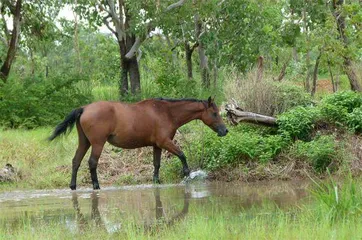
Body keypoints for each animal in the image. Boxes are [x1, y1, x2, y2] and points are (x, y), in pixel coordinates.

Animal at [49, 96, 228, 190]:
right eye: (214, 113)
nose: (225, 131)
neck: (166, 112)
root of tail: (85, 108)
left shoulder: (157, 146)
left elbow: (157, 164)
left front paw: (156, 181)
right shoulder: (165, 142)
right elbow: (182, 155)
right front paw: (187, 174)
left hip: (84, 142)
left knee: (76, 161)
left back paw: (73, 186)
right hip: (98, 143)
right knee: (92, 162)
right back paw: (96, 186)